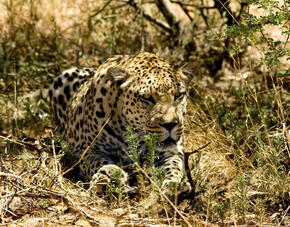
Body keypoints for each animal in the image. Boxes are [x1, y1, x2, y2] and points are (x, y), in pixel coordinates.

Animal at [49, 51, 194, 195]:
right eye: (147, 97)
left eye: (179, 95)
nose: (170, 125)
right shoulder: (85, 149)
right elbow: (97, 160)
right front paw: (111, 172)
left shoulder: (172, 151)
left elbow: (173, 166)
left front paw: (174, 185)